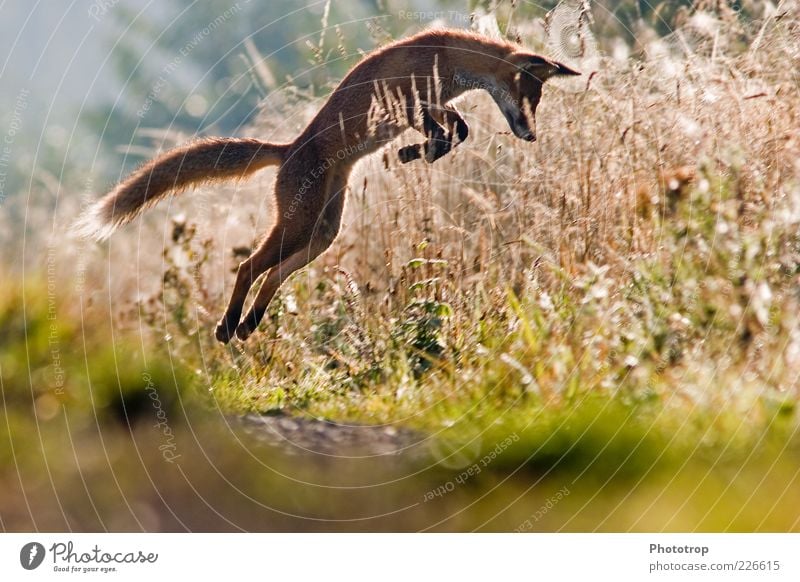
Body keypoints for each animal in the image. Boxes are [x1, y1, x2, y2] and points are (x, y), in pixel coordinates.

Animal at [75, 29, 580, 344]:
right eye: (528, 99)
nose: (531, 136)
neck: (447, 57)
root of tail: (286, 149)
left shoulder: (434, 105)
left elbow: (458, 130)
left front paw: (414, 154)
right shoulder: (408, 103)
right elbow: (450, 130)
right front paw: (416, 152)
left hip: (322, 233)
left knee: (273, 275)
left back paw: (246, 325)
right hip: (300, 226)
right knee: (248, 267)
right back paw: (229, 324)